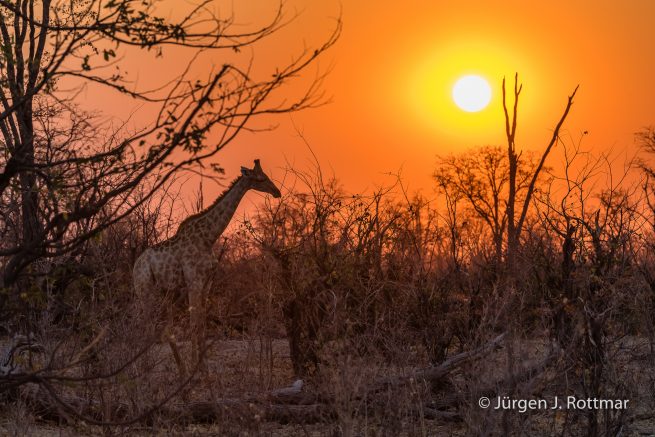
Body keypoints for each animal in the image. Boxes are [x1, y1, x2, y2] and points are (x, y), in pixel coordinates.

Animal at [133, 159, 281, 369]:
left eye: (266, 175)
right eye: (260, 178)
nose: (277, 192)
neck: (209, 237)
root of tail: (135, 266)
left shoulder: (206, 283)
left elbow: (201, 323)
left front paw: (202, 367)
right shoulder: (194, 281)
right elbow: (194, 323)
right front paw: (196, 365)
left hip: (163, 291)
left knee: (160, 325)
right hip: (145, 289)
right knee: (144, 322)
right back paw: (144, 365)